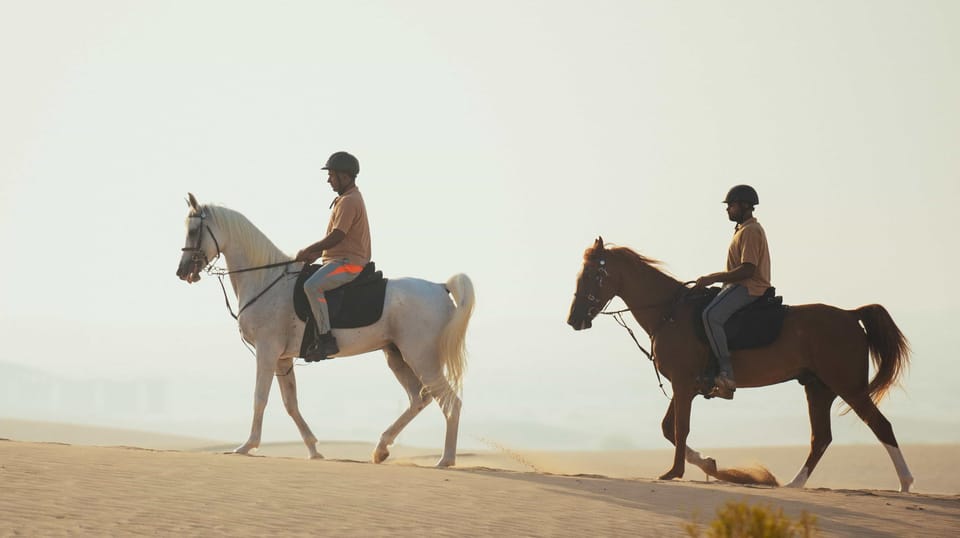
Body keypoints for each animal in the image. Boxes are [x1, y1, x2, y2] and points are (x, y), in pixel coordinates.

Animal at [175, 193, 475, 467]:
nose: (182, 272)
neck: (266, 278)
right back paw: (381, 449)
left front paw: (247, 446)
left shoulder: (267, 351)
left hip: (422, 358)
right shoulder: (283, 359)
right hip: (397, 356)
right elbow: (291, 403)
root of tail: (440, 287)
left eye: (193, 231)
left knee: (450, 402)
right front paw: (313, 449)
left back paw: (446, 460)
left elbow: (260, 397)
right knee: (418, 399)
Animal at [567, 237, 914, 492]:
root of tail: (850, 315)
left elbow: (680, 428)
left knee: (880, 426)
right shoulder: (687, 386)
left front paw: (675, 472)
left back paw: (906, 484)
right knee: (821, 438)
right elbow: (669, 428)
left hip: (847, 387)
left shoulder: (682, 383)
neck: (670, 313)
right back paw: (794, 484)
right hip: (819, 388)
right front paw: (710, 465)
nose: (574, 319)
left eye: (594, 275)